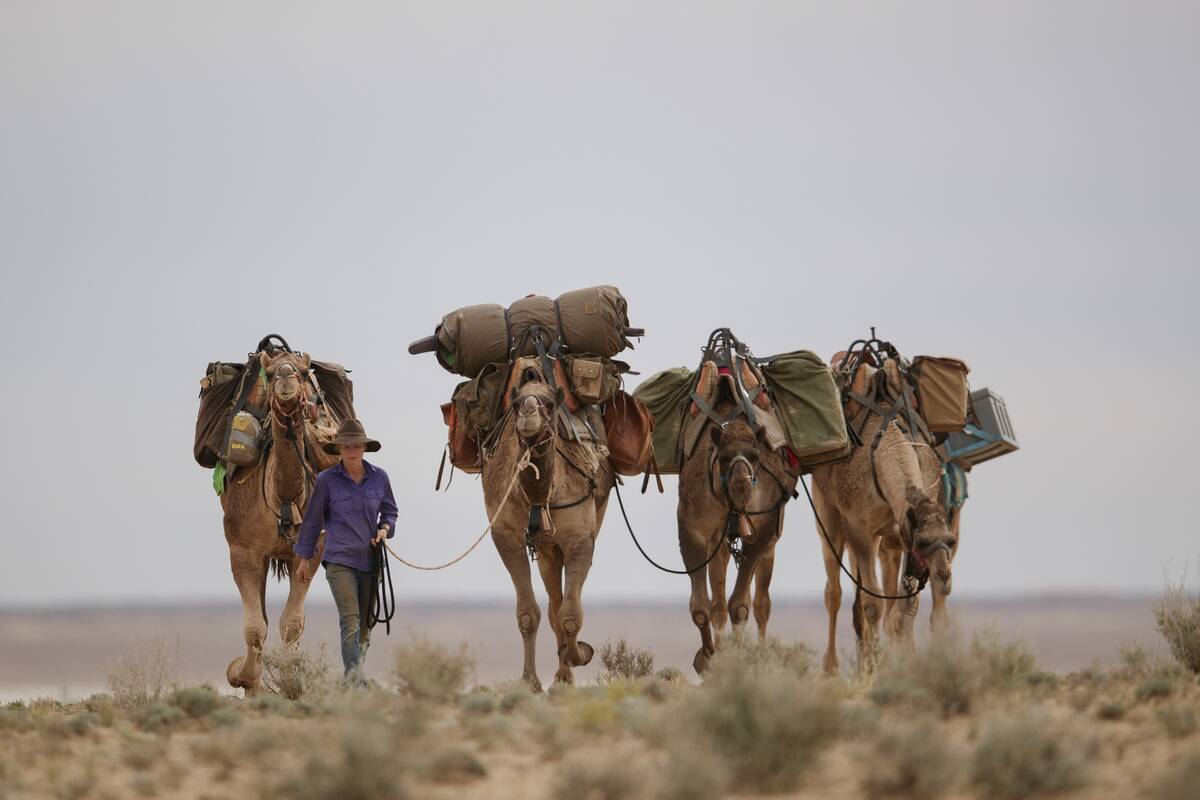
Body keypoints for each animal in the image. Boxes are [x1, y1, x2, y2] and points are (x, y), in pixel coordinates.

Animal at [220, 348, 325, 694]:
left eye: (305, 372)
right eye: (269, 371)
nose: (286, 377)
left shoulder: (310, 550)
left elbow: (292, 623)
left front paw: (293, 685)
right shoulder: (243, 548)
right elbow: (255, 627)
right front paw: (244, 679)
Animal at [482, 364, 615, 690]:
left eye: (551, 404)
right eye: (516, 404)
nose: (529, 412)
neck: (539, 497)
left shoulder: (580, 539)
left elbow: (570, 615)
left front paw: (579, 654)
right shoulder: (506, 536)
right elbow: (529, 613)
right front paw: (530, 681)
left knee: (562, 604)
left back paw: (565, 669)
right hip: (545, 548)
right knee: (553, 600)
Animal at [678, 397, 797, 675]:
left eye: (755, 456)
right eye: (723, 457)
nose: (741, 484)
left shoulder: (763, 528)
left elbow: (741, 605)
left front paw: (739, 659)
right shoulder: (692, 528)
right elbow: (701, 607)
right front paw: (708, 658)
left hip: (771, 542)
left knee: (762, 602)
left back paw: (763, 652)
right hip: (719, 543)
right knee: (719, 599)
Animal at [810, 364, 956, 675]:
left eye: (950, 540)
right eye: (923, 542)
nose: (944, 578)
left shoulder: (902, 528)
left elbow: (906, 604)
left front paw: (905, 663)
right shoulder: (861, 529)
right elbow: (872, 602)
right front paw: (872, 670)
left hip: (886, 537)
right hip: (827, 512)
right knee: (834, 591)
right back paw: (832, 668)